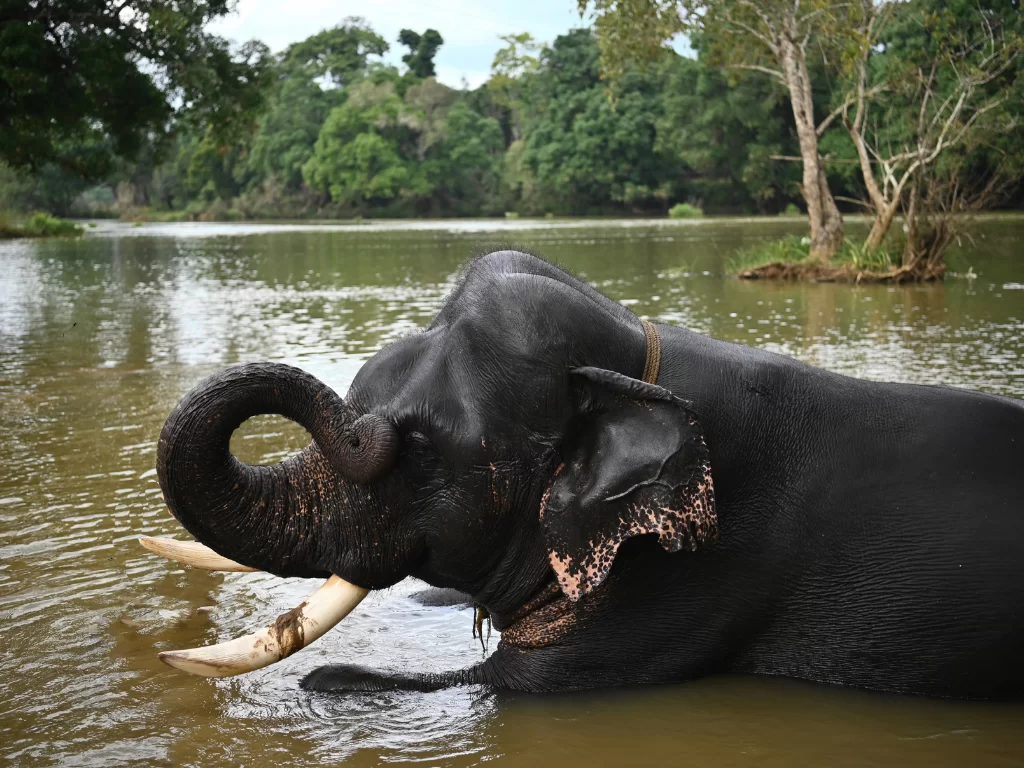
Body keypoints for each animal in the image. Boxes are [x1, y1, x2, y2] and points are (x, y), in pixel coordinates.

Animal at [148, 250, 1024, 698]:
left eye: (423, 452)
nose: (362, 423)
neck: (634, 362)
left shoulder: (692, 569)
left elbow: (507, 680)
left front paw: (329, 677)